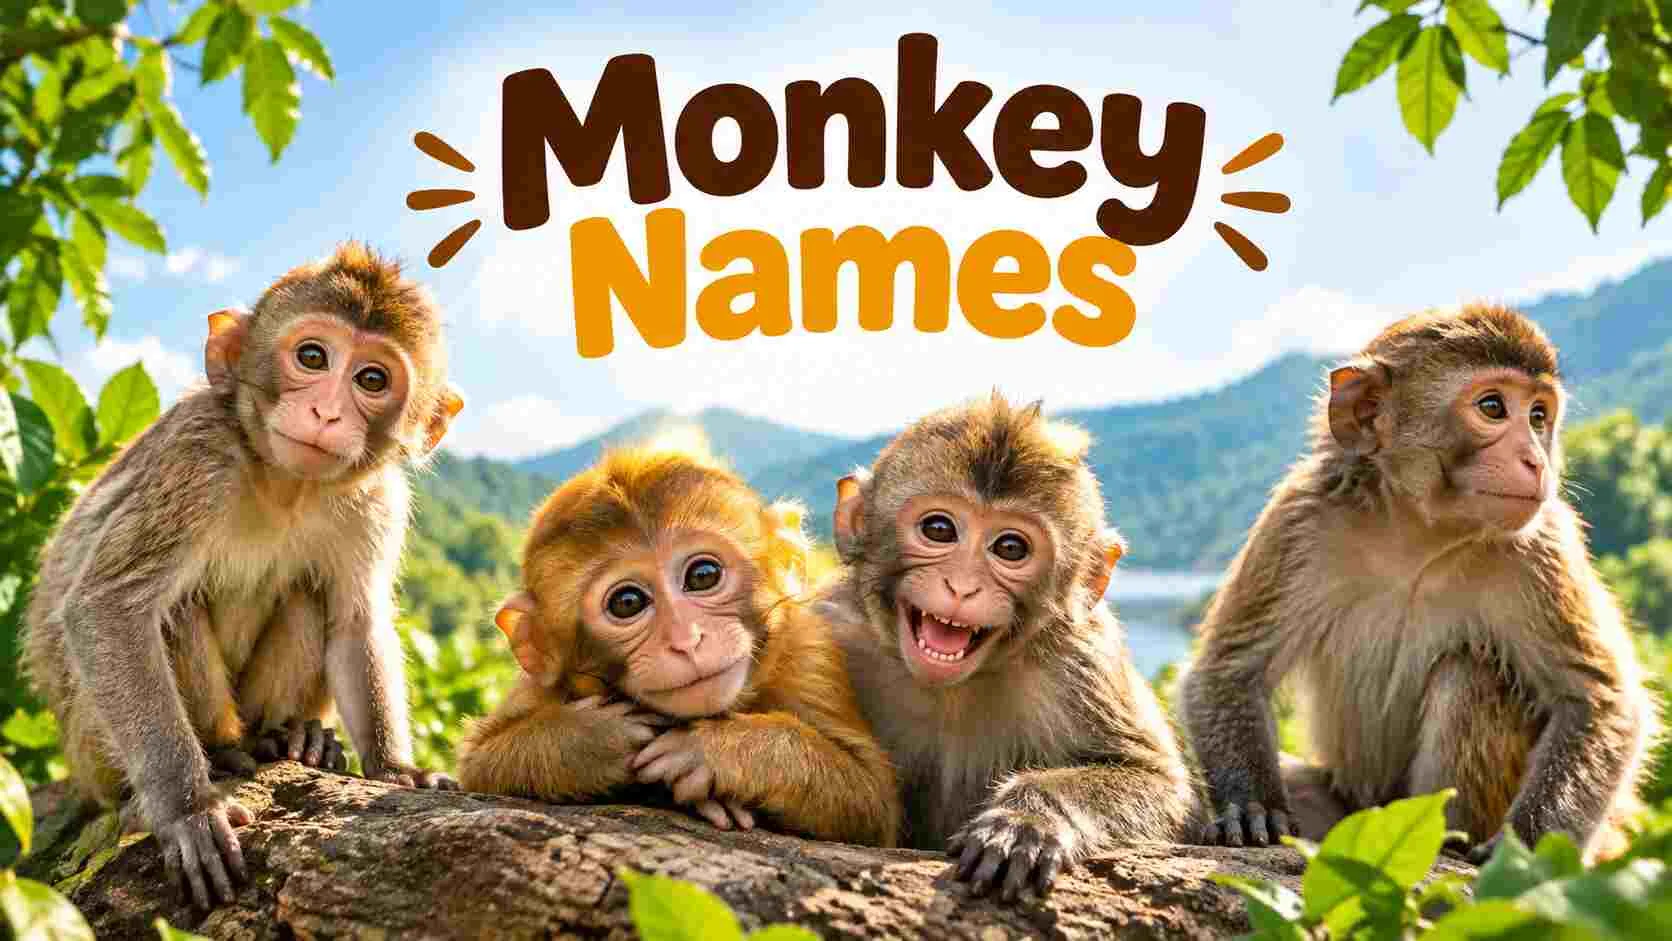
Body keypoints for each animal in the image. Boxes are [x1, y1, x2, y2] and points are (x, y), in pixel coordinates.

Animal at [23, 243, 465, 909]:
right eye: (313, 356)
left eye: (372, 379)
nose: (325, 411)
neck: (283, 483)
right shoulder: (194, 456)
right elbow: (108, 607)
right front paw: (187, 809)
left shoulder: (375, 499)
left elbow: (355, 622)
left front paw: (393, 767)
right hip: (90, 750)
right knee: (172, 611)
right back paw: (223, 756)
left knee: (308, 599)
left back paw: (289, 739)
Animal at [456, 442, 901, 848]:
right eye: (628, 602)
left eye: (703, 575)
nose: (686, 640)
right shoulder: (542, 684)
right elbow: (481, 762)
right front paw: (596, 739)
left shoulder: (808, 651)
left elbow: (868, 794)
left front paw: (708, 750)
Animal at [817, 394, 1200, 902]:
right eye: (939, 529)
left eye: (1011, 548)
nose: (962, 586)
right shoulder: (830, 627)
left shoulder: (1082, 661)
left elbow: (1154, 779)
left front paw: (1026, 819)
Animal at [1179, 303, 1656, 862]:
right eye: (1493, 407)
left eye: (1539, 417)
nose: (1536, 460)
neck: (1419, 536)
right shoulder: (1298, 518)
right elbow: (1229, 671)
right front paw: (1252, 804)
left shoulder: (1542, 544)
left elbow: (1599, 701)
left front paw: (1524, 850)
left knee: (1470, 672)